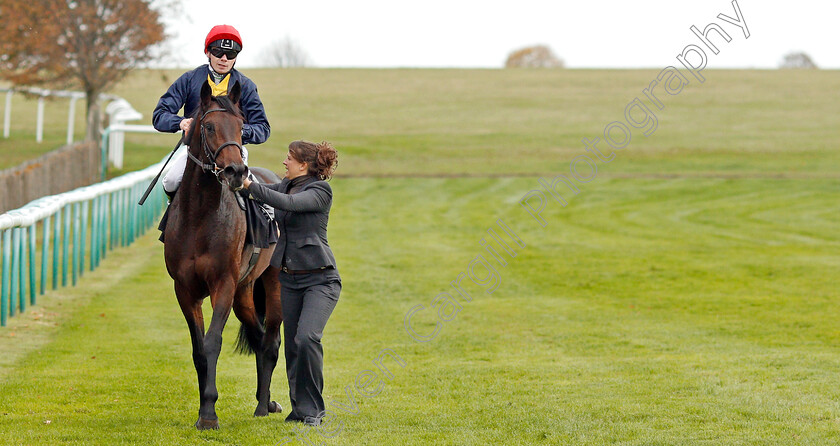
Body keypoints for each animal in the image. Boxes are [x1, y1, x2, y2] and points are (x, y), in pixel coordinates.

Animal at [162, 79, 284, 428]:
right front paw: (204, 409)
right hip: (245, 291)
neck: (200, 218)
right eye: (209, 126)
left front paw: (209, 413)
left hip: (273, 283)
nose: (235, 171)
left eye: (242, 126)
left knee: (271, 340)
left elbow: (212, 342)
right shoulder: (185, 290)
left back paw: (263, 406)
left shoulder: (223, 284)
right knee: (258, 337)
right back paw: (265, 400)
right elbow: (198, 349)